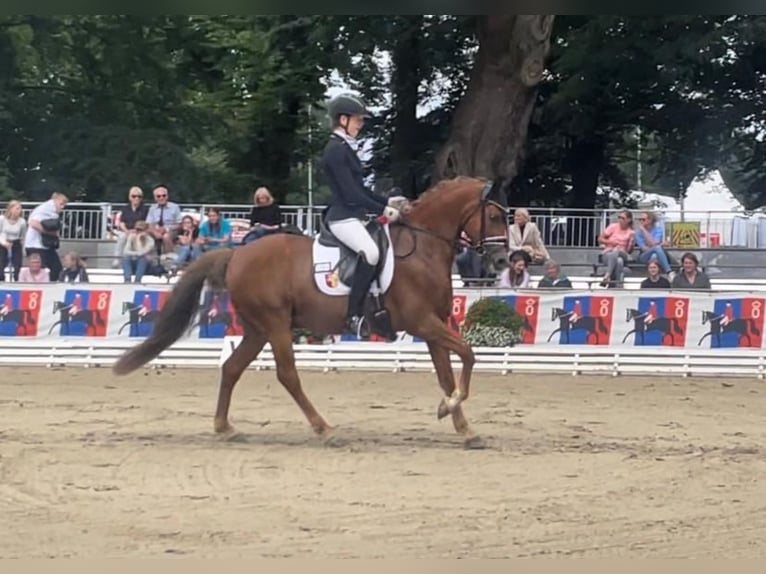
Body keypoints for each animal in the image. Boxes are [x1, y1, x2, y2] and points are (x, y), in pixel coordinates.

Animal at [112, 178, 510, 448]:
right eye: (493, 214)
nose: (503, 261)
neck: (424, 248)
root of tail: (238, 253)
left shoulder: (433, 326)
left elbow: (446, 373)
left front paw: (463, 426)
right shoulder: (422, 322)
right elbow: (469, 355)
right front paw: (450, 407)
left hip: (259, 328)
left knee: (232, 368)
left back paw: (225, 427)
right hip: (275, 324)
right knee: (287, 374)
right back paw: (324, 428)